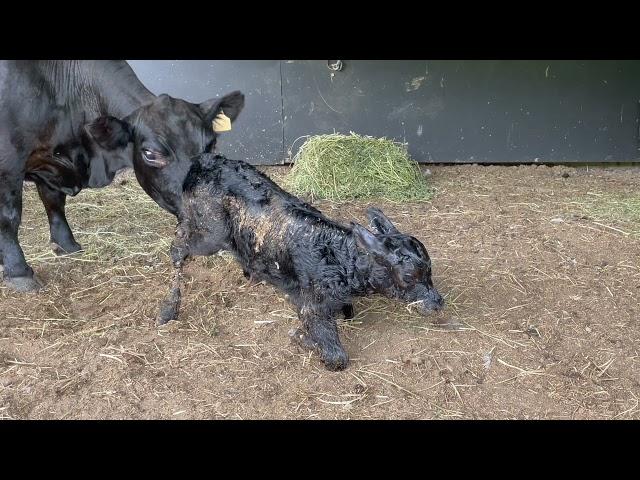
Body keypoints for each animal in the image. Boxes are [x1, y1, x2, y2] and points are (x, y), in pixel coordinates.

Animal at [0, 61, 245, 292]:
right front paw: (18, 271)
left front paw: (66, 244)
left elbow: (54, 202)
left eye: (211, 144)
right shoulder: (9, 162)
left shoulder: (50, 165)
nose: (207, 209)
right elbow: (9, 216)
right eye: (150, 153)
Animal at [159, 154, 444, 372]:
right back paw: (169, 308)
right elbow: (336, 357)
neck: (339, 260)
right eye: (408, 276)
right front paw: (300, 337)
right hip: (210, 233)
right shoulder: (312, 306)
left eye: (430, 271)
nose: (438, 302)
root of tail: (203, 160)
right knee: (178, 245)